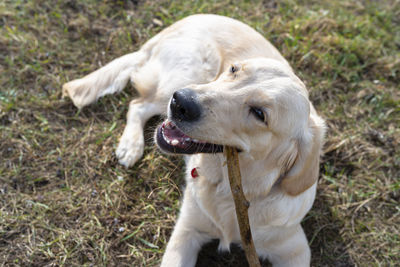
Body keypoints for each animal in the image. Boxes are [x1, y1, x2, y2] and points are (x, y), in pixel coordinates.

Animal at [62, 14, 324, 266]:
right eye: (233, 69)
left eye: (259, 113)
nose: (181, 101)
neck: (227, 192)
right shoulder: (186, 231)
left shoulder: (295, 249)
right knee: (137, 105)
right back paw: (130, 146)